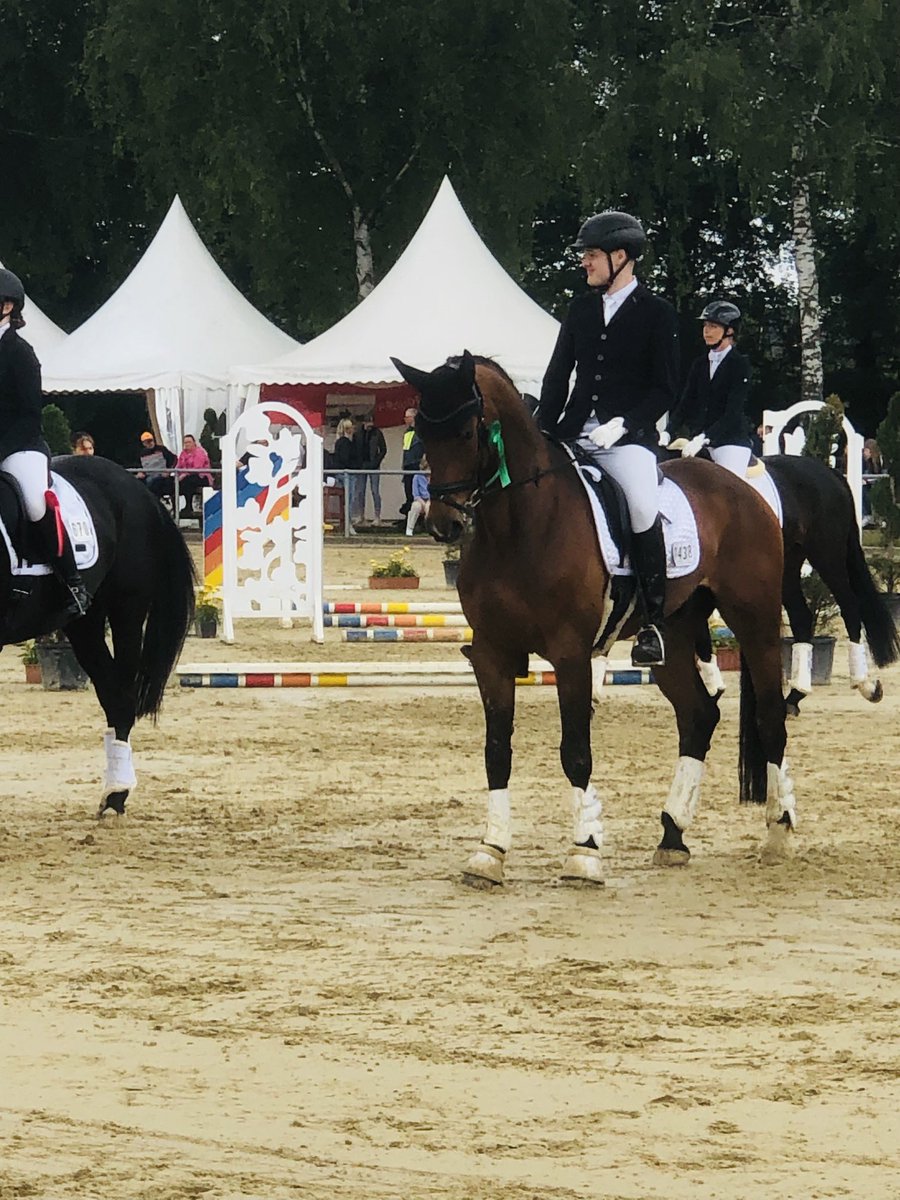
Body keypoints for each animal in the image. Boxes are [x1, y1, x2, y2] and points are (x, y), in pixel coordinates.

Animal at [0, 456, 195, 816]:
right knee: (110, 693)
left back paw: (116, 794)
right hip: (84, 624)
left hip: (126, 609)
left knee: (122, 699)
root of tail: (137, 489)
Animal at [393, 350, 796, 888]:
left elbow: (575, 750)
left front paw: (584, 853)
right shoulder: (492, 654)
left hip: (754, 619)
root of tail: (741, 486)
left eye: (465, 432)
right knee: (697, 715)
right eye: (422, 432)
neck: (520, 525)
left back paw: (779, 832)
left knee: (771, 715)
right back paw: (672, 837)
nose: (445, 525)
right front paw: (489, 853)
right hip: (673, 634)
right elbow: (497, 750)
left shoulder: (570, 656)